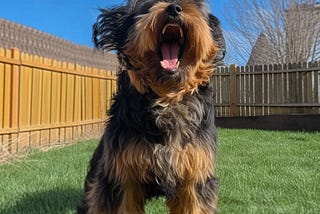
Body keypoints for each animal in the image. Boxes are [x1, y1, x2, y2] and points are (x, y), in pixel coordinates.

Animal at [77, 0, 225, 213]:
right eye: (149, 4)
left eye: (196, 4)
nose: (174, 8)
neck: (166, 98)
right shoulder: (121, 174)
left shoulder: (196, 173)